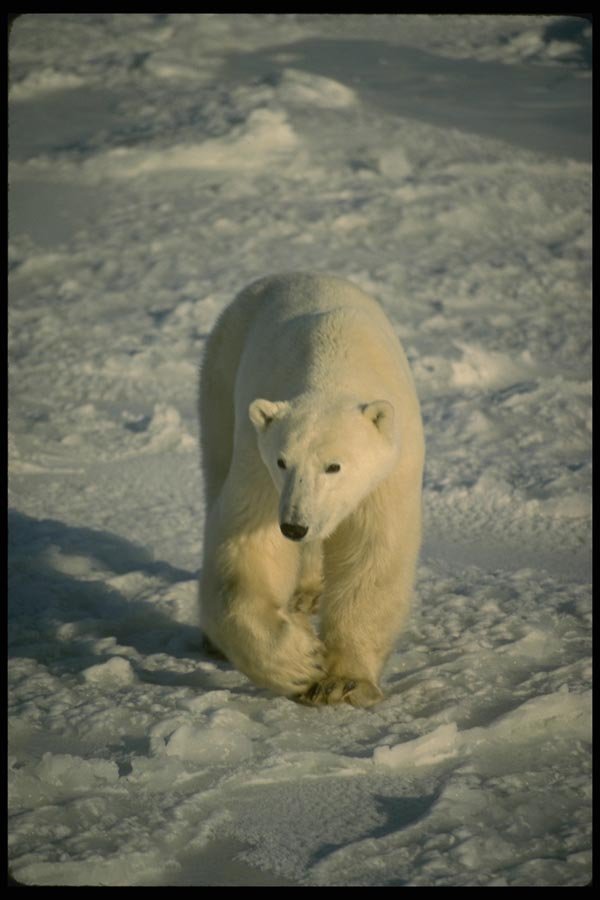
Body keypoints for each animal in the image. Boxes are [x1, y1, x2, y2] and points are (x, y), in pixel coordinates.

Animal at [198, 272, 424, 707]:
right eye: (283, 461)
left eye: (334, 466)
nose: (294, 526)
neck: (332, 361)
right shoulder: (259, 461)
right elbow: (249, 546)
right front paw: (301, 662)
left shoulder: (390, 470)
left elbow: (371, 554)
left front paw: (342, 681)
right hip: (221, 376)